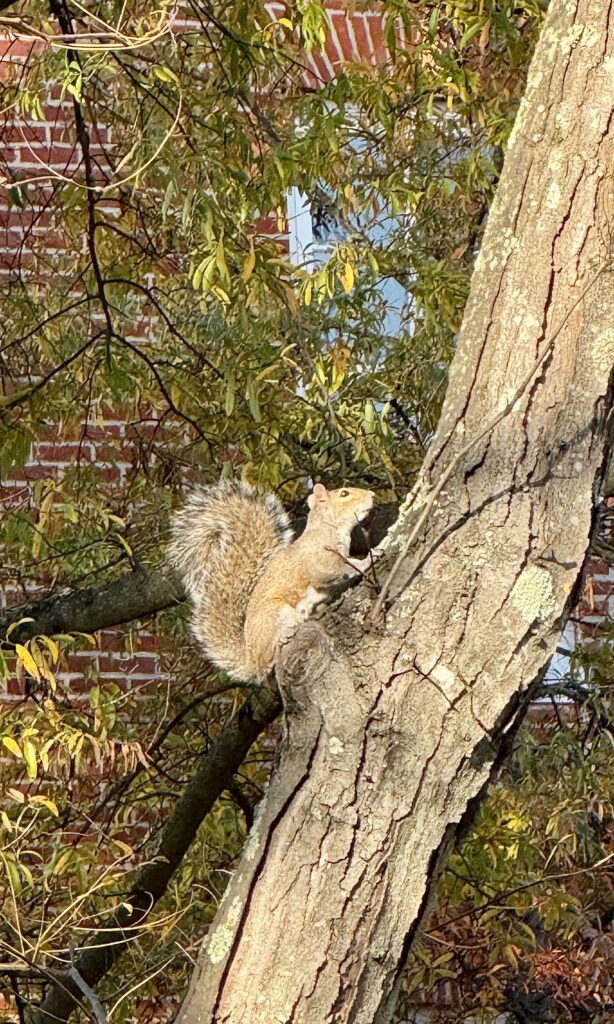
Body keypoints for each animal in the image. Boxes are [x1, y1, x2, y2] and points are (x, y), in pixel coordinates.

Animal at [168, 480, 375, 682]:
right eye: (344, 494)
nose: (372, 495)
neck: (329, 527)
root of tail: (251, 660)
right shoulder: (320, 558)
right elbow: (337, 569)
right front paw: (368, 558)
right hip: (275, 613)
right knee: (270, 656)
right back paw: (283, 637)